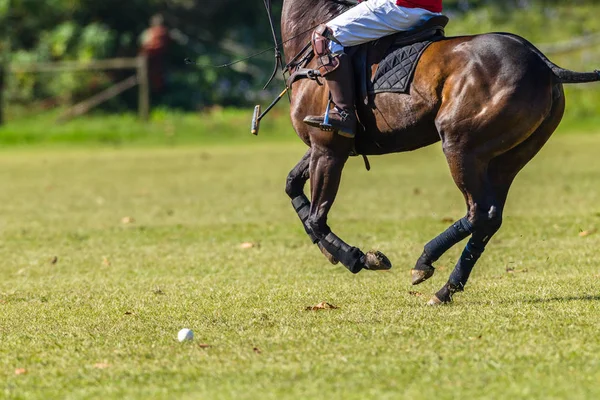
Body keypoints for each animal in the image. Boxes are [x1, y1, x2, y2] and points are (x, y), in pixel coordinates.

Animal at [276, 0, 600, 304]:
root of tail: (543, 63)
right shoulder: (325, 145)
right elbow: (293, 185)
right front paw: (333, 252)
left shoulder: (327, 147)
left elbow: (317, 218)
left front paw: (360, 258)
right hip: (508, 157)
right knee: (491, 216)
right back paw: (445, 288)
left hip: (461, 145)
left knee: (480, 211)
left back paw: (425, 263)